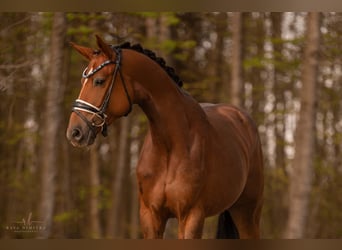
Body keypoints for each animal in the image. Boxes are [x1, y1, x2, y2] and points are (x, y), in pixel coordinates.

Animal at [67, 35, 264, 238]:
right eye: (83, 82)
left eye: (99, 81)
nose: (75, 132)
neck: (170, 148)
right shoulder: (150, 216)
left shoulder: (191, 216)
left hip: (247, 213)